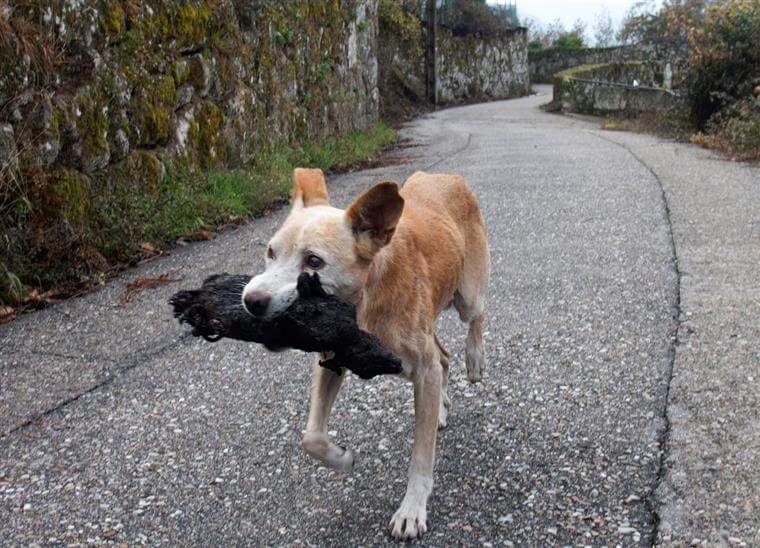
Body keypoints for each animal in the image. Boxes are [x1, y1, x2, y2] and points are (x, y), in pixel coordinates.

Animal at [243, 168, 492, 540]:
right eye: (270, 252)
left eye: (313, 261)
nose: (251, 300)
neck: (365, 300)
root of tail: (446, 176)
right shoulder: (330, 360)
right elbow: (311, 437)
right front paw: (341, 458)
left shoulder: (424, 368)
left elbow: (421, 457)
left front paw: (411, 509)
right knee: (443, 358)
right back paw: (440, 409)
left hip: (467, 295)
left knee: (476, 316)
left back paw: (474, 358)